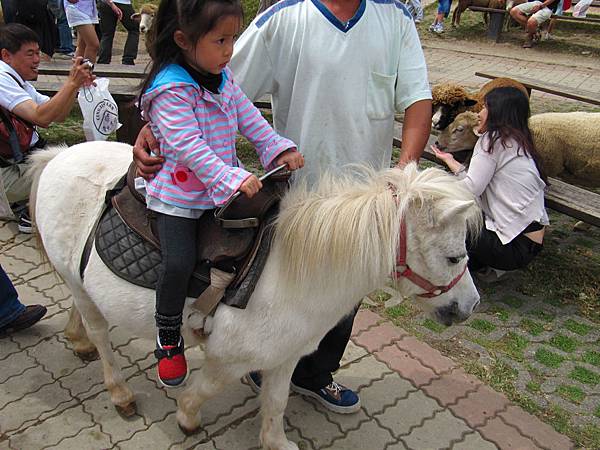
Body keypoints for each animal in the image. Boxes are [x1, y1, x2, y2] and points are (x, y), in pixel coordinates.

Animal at [28, 143, 482, 450]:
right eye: (453, 255)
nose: (469, 306)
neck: (290, 272)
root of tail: (60, 156)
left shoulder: (285, 356)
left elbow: (277, 401)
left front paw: (275, 441)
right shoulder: (228, 359)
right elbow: (203, 390)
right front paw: (187, 418)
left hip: (77, 279)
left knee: (81, 311)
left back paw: (78, 341)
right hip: (82, 288)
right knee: (102, 334)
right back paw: (118, 390)